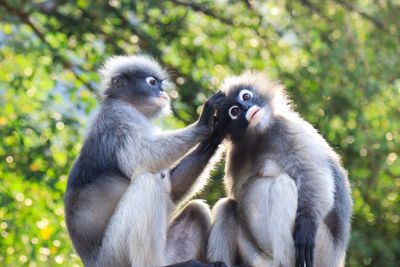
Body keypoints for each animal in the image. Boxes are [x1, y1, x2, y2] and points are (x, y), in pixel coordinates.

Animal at [63, 55, 227, 267]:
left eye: (160, 84)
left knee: (196, 208)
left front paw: (216, 134)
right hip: (114, 255)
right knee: (147, 182)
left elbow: (173, 189)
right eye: (152, 82)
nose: (163, 92)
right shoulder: (120, 117)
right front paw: (205, 122)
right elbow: (145, 156)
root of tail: (89, 261)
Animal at [208, 71, 352, 267]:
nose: (247, 108)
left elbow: (314, 175)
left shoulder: (287, 128)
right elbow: (237, 198)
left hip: (321, 250)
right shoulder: (238, 152)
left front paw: (306, 227)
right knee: (227, 206)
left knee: (282, 183)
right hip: (256, 257)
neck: (260, 134)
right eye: (235, 111)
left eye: (246, 96)